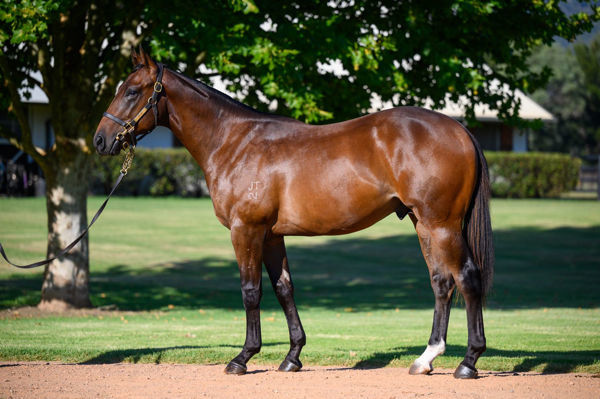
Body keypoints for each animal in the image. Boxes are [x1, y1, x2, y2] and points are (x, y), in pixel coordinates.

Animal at [94, 48, 494, 380]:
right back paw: (426, 359)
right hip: (423, 223)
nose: (100, 140)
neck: (234, 142)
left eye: (132, 91)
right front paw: (292, 357)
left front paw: (242, 358)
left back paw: (468, 362)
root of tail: (459, 129)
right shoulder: (272, 234)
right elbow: (283, 288)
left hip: (442, 225)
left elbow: (251, 291)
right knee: (441, 282)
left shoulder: (246, 230)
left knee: (467, 278)